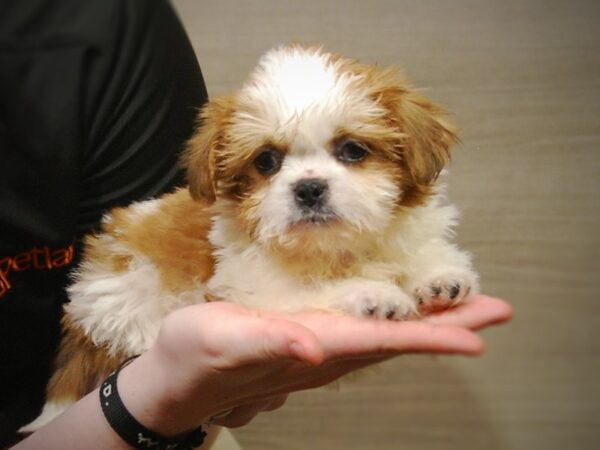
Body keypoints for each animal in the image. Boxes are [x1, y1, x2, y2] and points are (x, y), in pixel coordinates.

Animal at [23, 46, 480, 432]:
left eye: (353, 150)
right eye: (266, 161)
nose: (308, 188)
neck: (331, 246)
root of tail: (79, 315)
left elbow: (418, 251)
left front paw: (437, 277)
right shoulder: (253, 285)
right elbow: (310, 289)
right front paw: (371, 293)